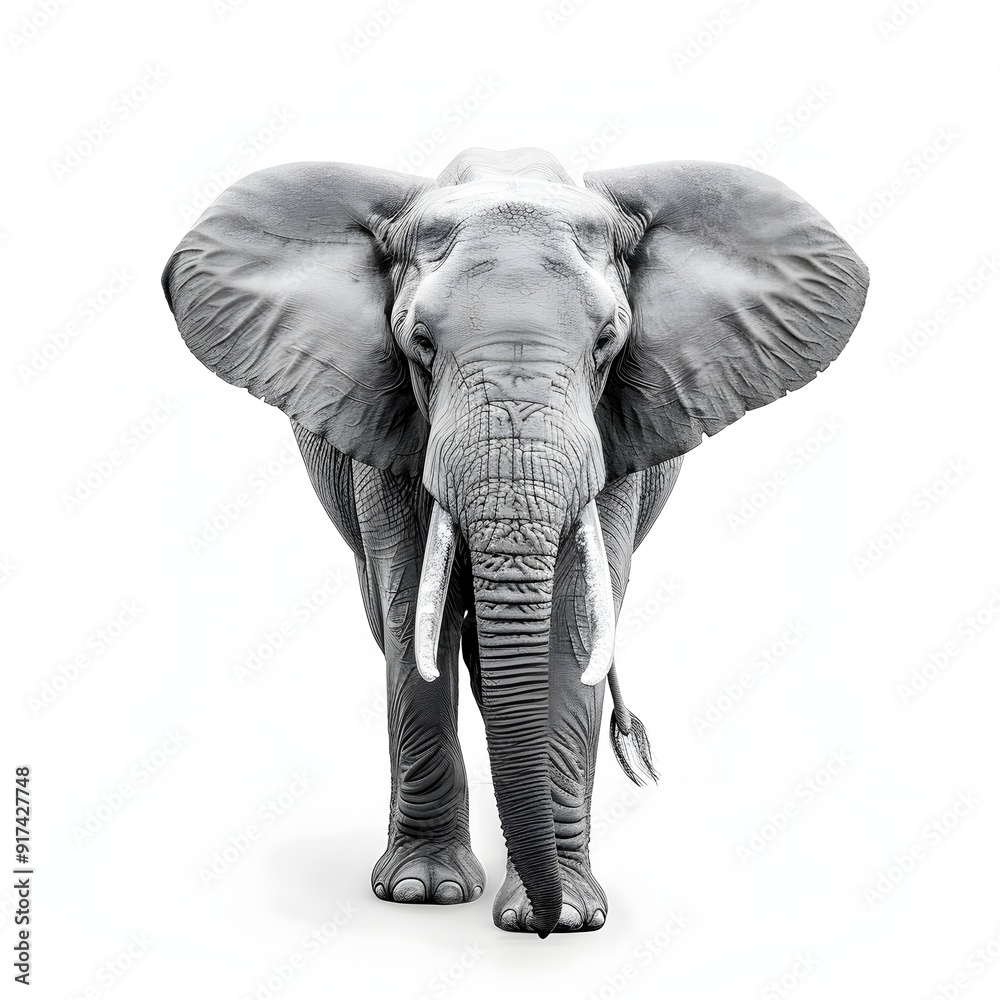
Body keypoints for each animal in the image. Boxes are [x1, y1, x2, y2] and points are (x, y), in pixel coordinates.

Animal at [161, 146, 868, 937]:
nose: (543, 925)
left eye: (607, 343)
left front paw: (564, 915)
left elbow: (572, 624)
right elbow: (415, 615)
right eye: (419, 345)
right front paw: (424, 892)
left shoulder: (613, 436)